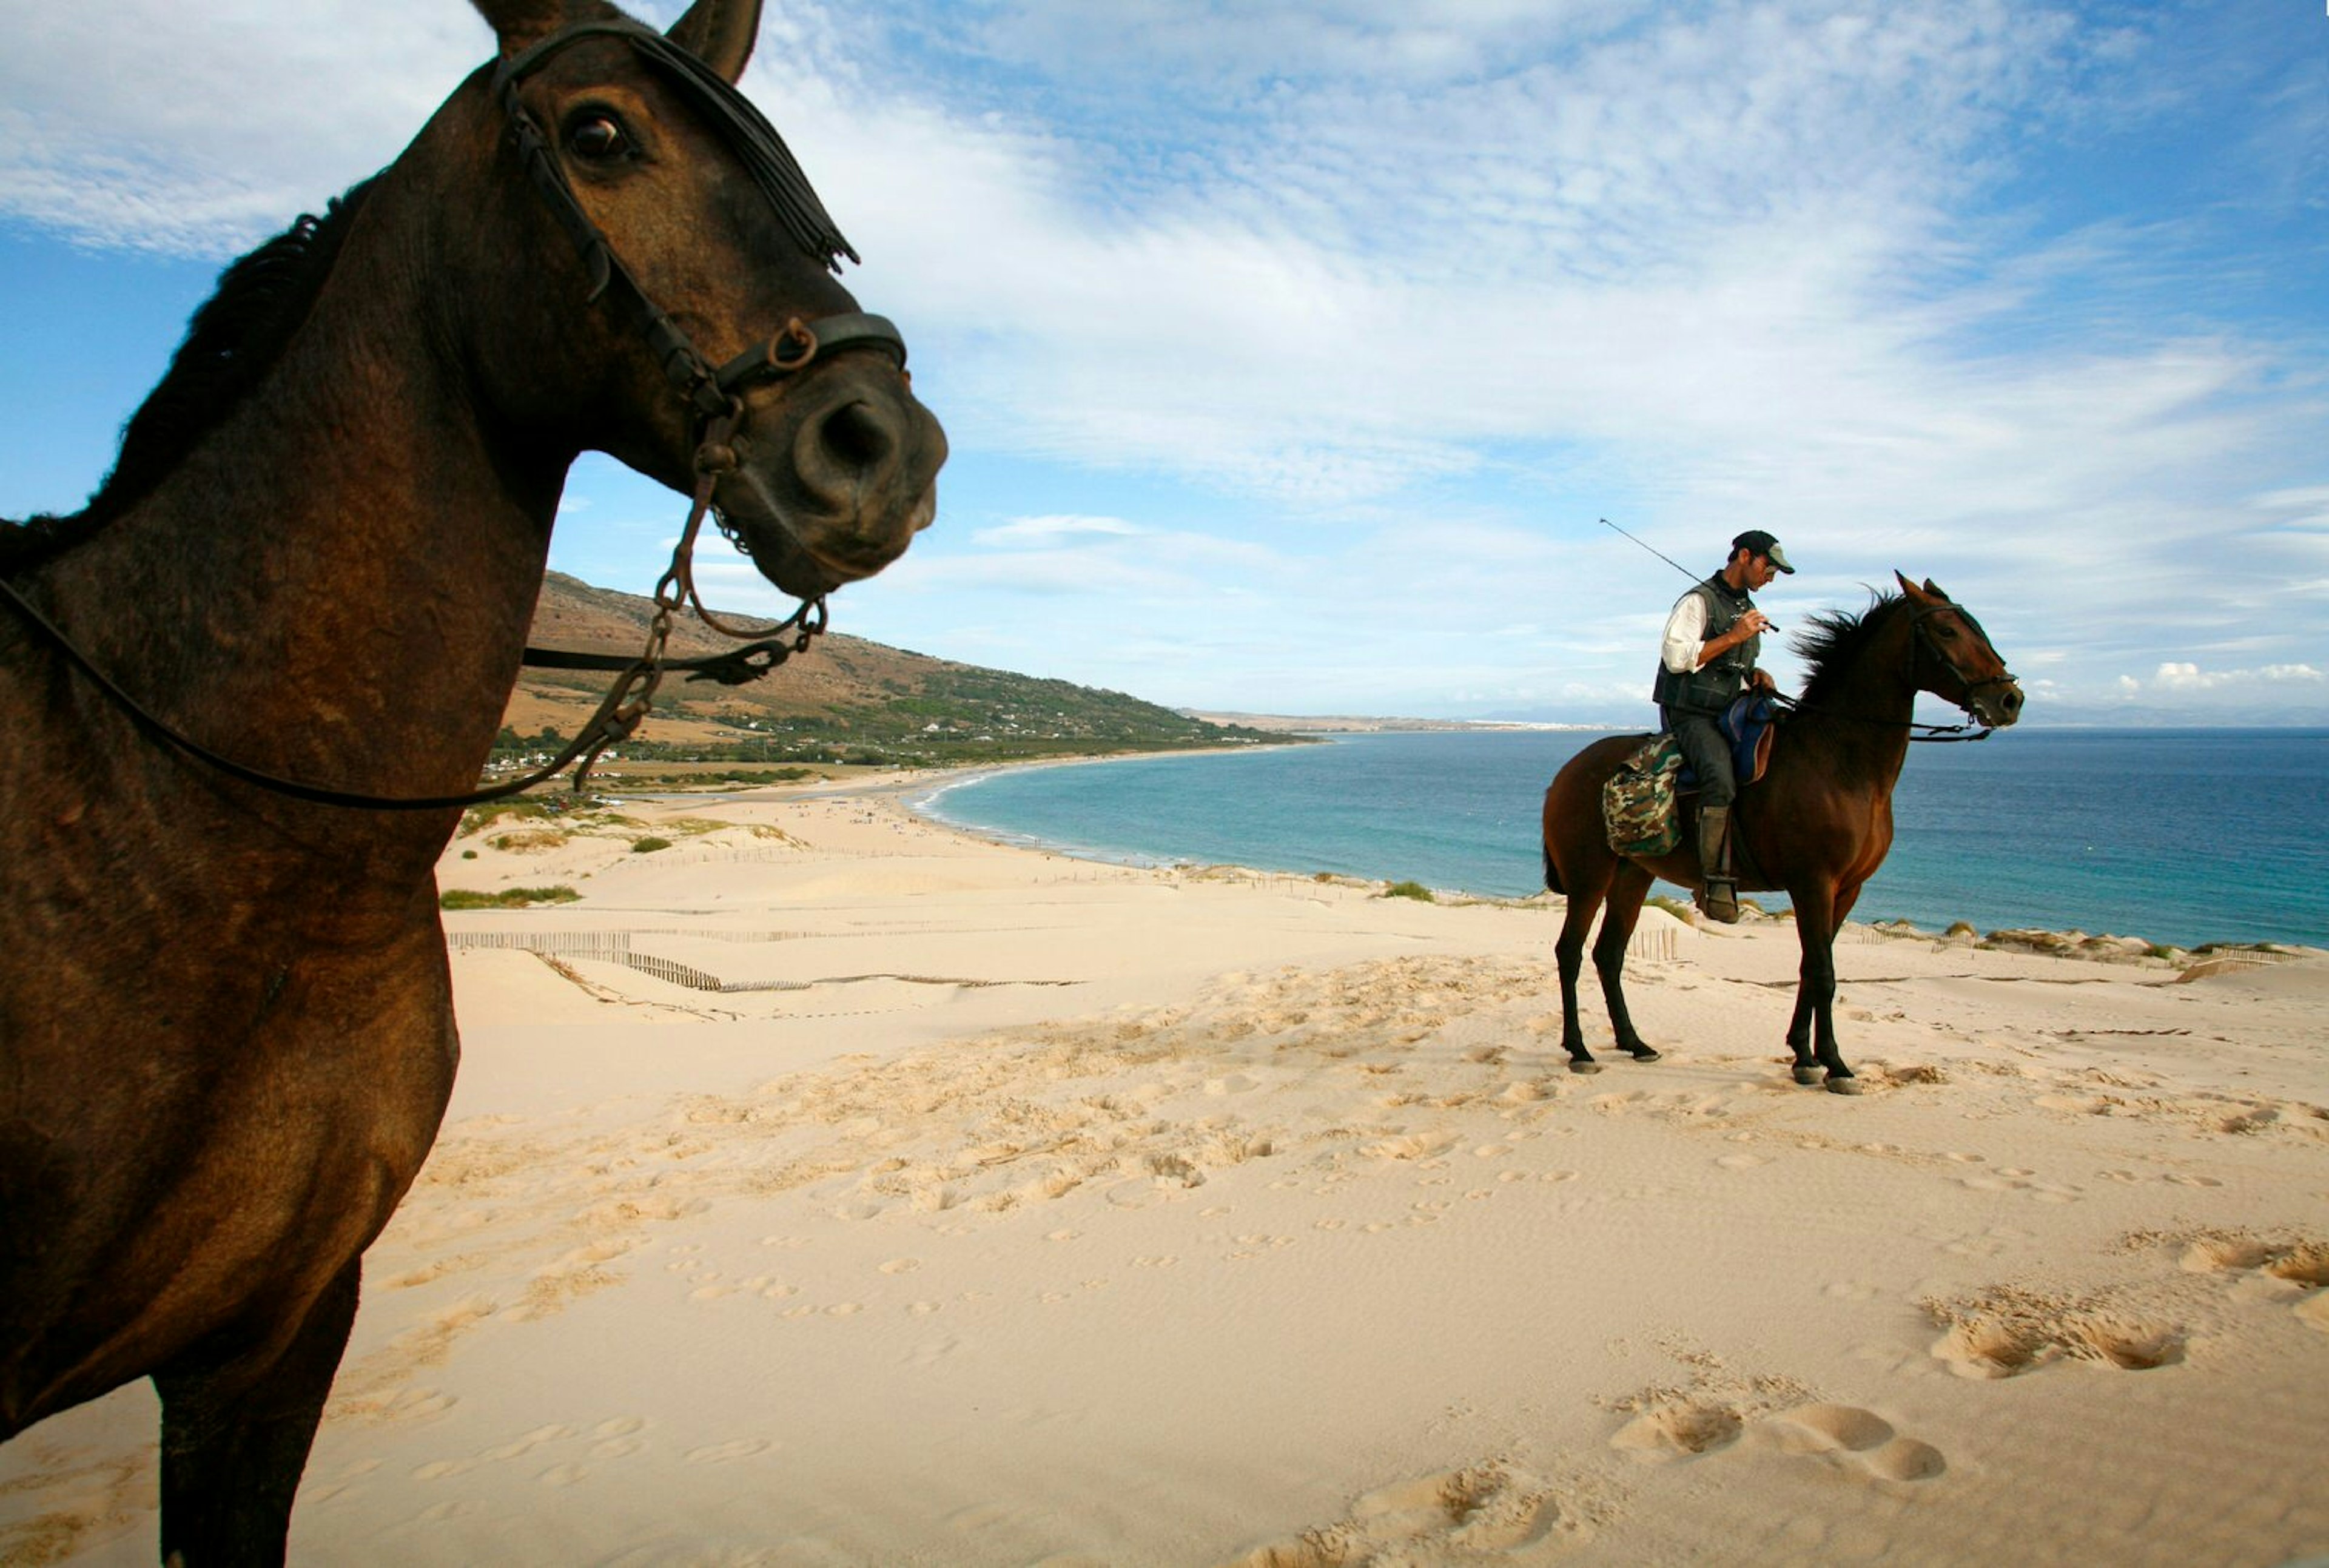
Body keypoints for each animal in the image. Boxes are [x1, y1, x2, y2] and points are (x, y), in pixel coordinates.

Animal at [1546, 568, 2021, 1095]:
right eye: (1948, 632)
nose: (2009, 699)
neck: (1838, 760)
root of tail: (1566, 772)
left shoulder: (1847, 889)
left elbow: (1811, 968)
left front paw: (1804, 1056)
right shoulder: (1813, 882)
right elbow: (1824, 971)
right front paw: (1835, 1064)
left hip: (1634, 874)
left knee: (1609, 954)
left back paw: (1634, 1042)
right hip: (1590, 877)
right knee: (1570, 952)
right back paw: (1580, 1049)